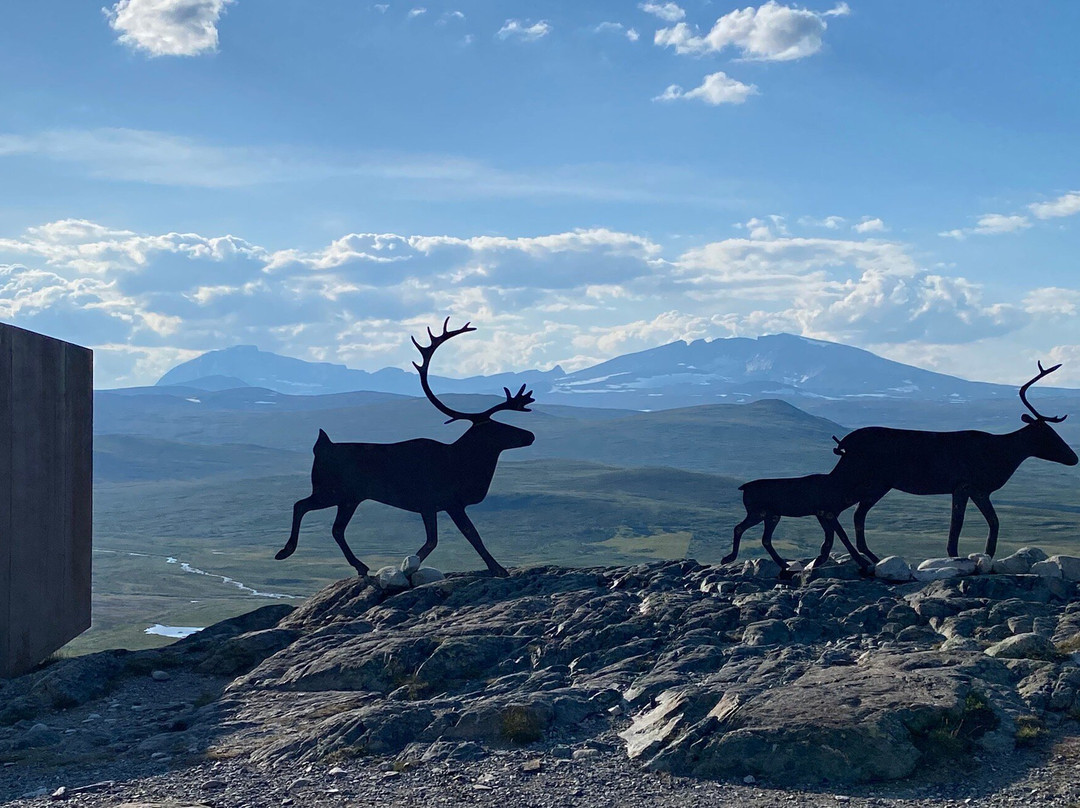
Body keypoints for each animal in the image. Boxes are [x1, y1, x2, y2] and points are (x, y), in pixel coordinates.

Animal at [275, 319, 535, 577]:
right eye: (497, 427)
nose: (530, 435)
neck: (464, 464)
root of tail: (321, 446)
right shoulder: (442, 502)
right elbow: (464, 537)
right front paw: (498, 568)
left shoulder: (437, 506)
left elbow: (442, 540)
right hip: (331, 491)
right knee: (301, 505)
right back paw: (285, 551)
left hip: (349, 498)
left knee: (336, 529)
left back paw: (360, 566)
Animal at [722, 471, 872, 576]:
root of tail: (744, 488)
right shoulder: (828, 512)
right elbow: (842, 535)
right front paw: (864, 562)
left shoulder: (823, 514)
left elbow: (831, 536)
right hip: (758, 513)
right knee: (739, 528)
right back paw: (728, 558)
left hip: (772, 516)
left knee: (765, 539)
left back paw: (784, 564)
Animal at [830, 361, 1078, 561]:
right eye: (1047, 434)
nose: (1074, 458)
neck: (1002, 455)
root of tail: (843, 444)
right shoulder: (963, 485)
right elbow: (957, 523)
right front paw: (954, 554)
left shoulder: (979, 490)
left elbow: (994, 521)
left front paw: (988, 554)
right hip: (861, 478)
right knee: (838, 507)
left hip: (877, 484)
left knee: (855, 513)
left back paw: (868, 556)